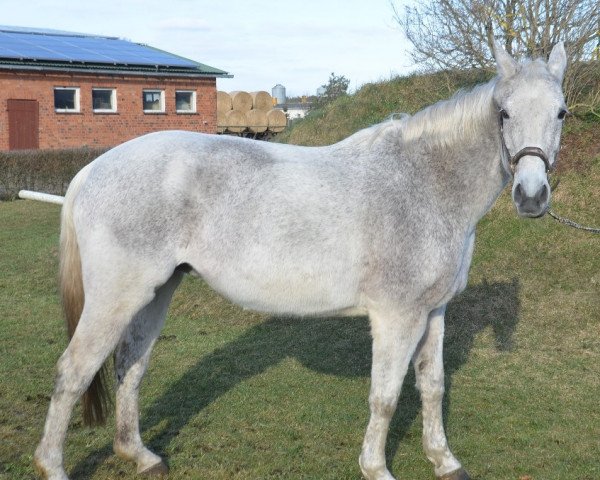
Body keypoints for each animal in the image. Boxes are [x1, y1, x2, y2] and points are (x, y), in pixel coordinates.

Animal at [34, 42, 568, 480]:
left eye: (561, 112)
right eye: (503, 112)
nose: (532, 197)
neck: (423, 183)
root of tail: (92, 170)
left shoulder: (433, 311)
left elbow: (431, 386)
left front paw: (444, 460)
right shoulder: (396, 317)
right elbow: (386, 396)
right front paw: (376, 468)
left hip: (155, 293)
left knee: (130, 366)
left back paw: (140, 456)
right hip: (116, 298)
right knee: (73, 371)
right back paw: (53, 466)